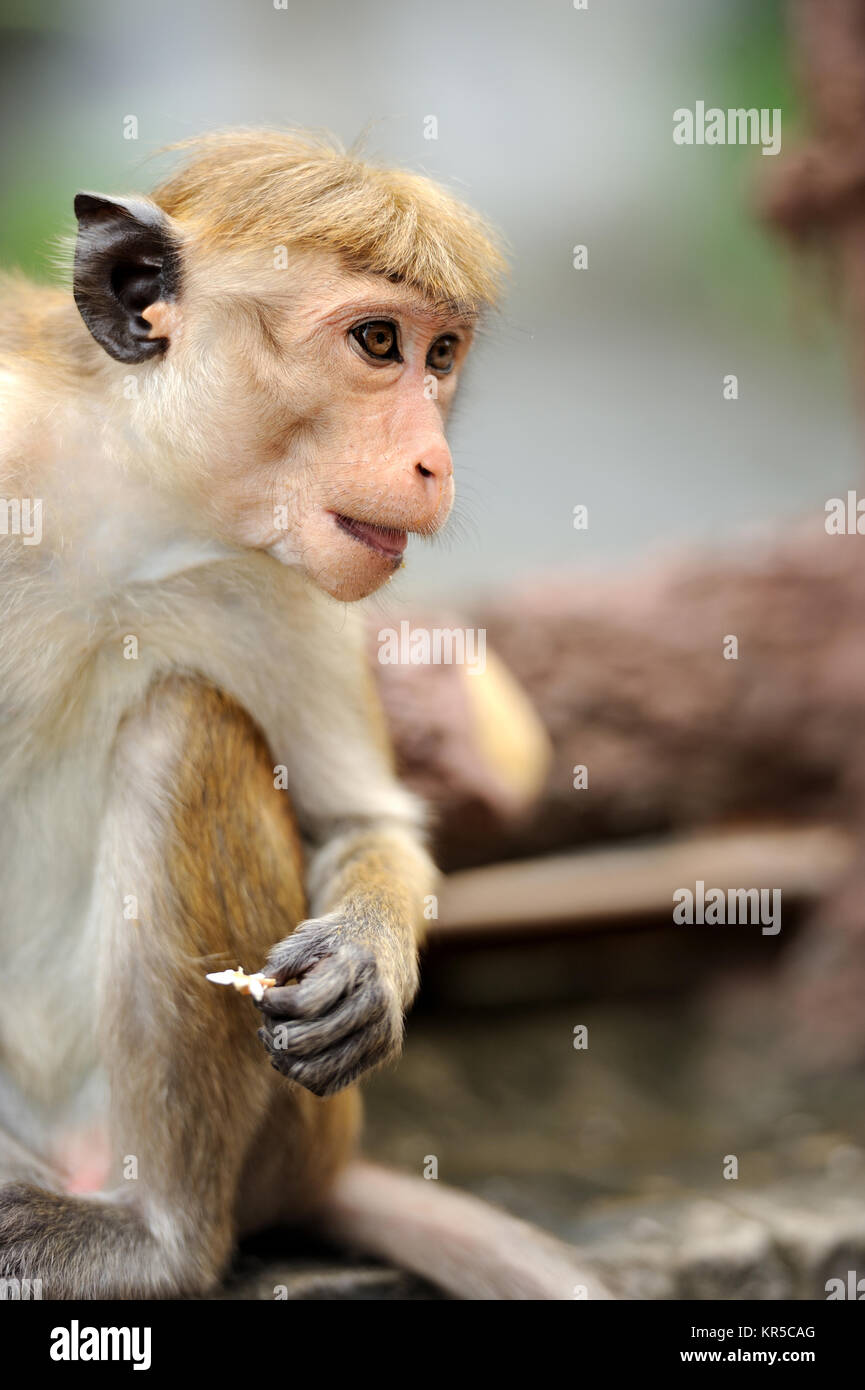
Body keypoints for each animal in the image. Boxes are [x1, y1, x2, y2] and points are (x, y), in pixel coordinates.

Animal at [0, 129, 610, 1300]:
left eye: (440, 354)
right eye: (377, 341)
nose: (433, 460)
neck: (130, 501)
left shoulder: (292, 585)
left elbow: (358, 819)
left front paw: (364, 962)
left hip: (279, 1137)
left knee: (181, 724)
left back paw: (160, 1236)